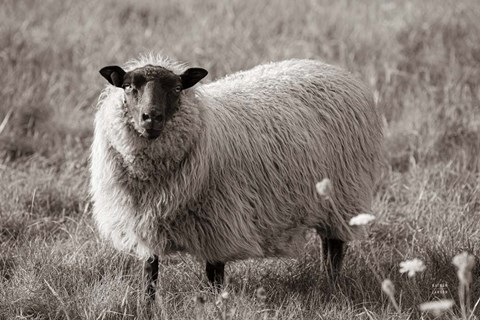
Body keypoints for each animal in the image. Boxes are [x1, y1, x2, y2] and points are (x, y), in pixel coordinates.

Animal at [90, 54, 382, 298]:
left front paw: (215, 305)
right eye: (129, 86)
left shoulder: (218, 224)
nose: (151, 118)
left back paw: (331, 284)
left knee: (334, 247)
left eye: (177, 88)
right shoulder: (144, 225)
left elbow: (214, 276)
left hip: (344, 194)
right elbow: (150, 274)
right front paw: (148, 306)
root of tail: (333, 69)